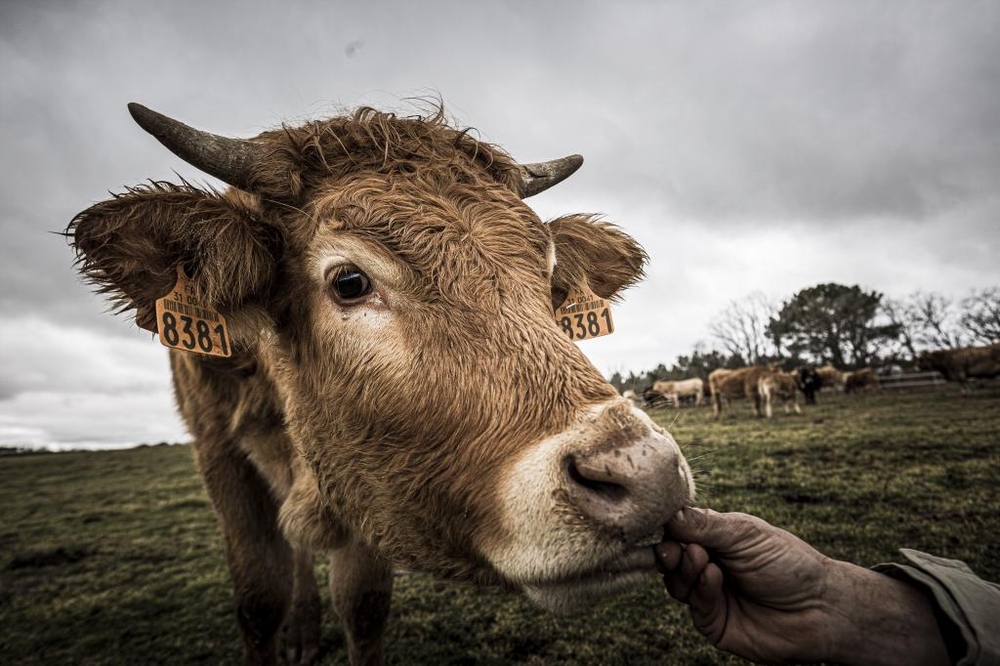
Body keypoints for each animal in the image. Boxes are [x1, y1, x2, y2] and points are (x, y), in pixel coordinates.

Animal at [68, 102, 696, 664]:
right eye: (349, 281)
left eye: (550, 281)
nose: (647, 475)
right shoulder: (217, 451)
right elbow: (259, 598)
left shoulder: (368, 477)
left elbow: (363, 605)